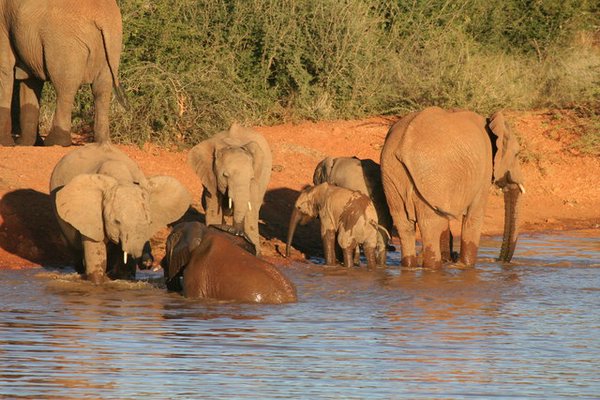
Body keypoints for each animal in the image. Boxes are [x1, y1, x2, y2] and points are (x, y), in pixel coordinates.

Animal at [0, 0, 125, 147]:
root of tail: (103, 19)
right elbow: (31, 81)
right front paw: (26, 144)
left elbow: (6, 68)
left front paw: (7, 144)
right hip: (113, 44)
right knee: (101, 90)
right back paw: (102, 143)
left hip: (65, 43)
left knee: (65, 88)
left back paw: (56, 142)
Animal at [188, 122, 272, 253]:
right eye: (225, 176)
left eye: (251, 178)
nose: (237, 234)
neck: (233, 144)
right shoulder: (211, 175)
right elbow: (213, 208)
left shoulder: (256, 179)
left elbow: (251, 212)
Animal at [380, 106, 524, 268]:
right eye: (517, 154)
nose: (498, 261)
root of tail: (402, 145)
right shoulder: (484, 170)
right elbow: (474, 216)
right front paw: (466, 266)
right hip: (430, 175)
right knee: (430, 224)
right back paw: (433, 267)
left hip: (392, 172)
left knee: (404, 224)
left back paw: (410, 265)